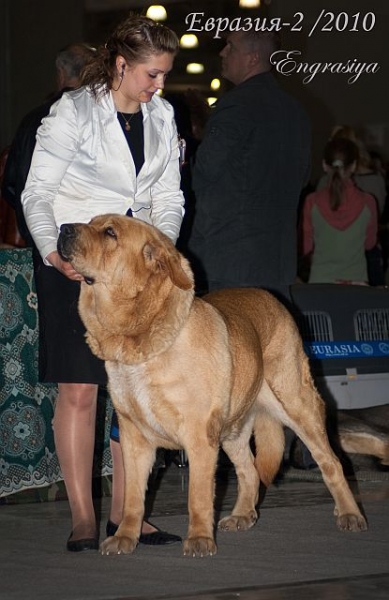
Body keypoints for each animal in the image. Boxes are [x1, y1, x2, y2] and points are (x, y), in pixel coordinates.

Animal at [56, 213, 366, 556]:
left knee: (332, 463)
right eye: (90, 222)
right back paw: (242, 515)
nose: (63, 229)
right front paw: (125, 537)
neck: (140, 340)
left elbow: (198, 495)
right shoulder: (133, 436)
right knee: (249, 471)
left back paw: (350, 515)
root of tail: (274, 299)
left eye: (110, 233)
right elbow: (133, 496)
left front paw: (200, 539)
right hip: (233, 429)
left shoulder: (199, 434)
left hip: (297, 407)